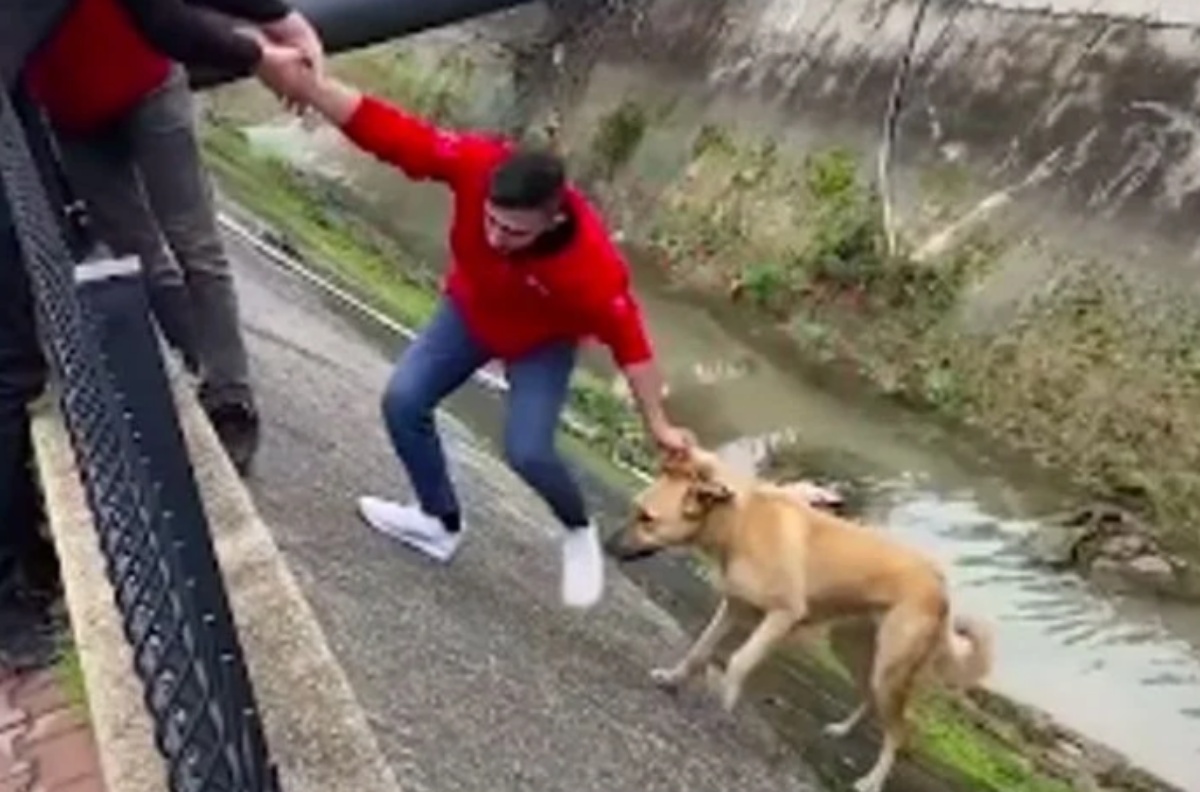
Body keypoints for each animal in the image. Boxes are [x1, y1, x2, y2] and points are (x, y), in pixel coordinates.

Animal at [609, 446, 993, 792]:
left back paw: (872, 780)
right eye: (636, 510)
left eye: (647, 518)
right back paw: (841, 730)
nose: (608, 545)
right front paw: (673, 679)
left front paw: (725, 705)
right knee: (871, 699)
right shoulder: (734, 607)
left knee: (900, 730)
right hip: (856, 652)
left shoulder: (782, 616)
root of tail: (939, 582)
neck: (740, 522)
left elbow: (738, 662)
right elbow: (699, 650)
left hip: (890, 670)